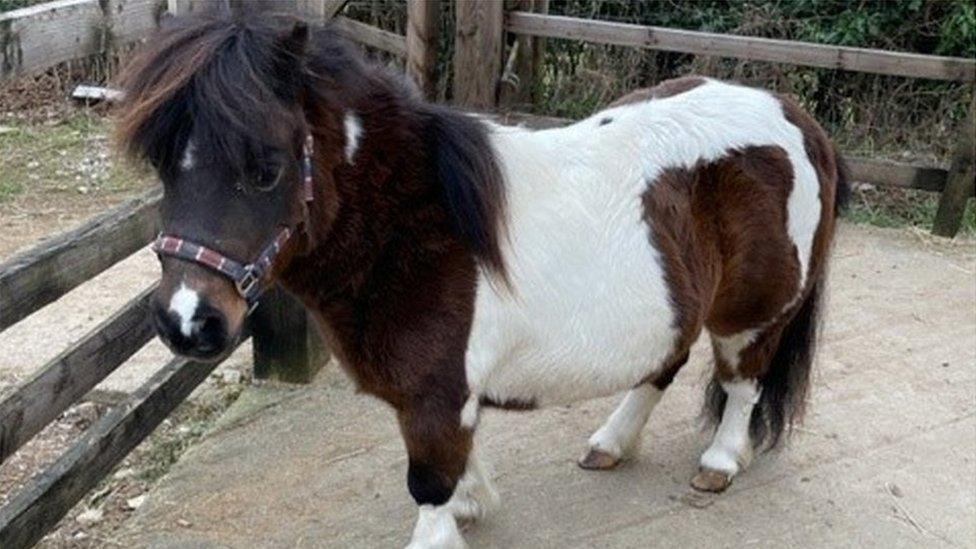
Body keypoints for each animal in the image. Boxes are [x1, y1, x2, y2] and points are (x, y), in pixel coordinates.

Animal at [114, 13, 848, 548]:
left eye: (266, 170)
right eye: (163, 167)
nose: (186, 321)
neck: (415, 226)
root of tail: (791, 113)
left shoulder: (438, 395)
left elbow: (429, 484)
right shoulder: (436, 395)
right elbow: (456, 464)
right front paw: (473, 502)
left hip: (751, 312)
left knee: (743, 380)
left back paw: (719, 461)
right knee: (663, 366)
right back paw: (610, 443)